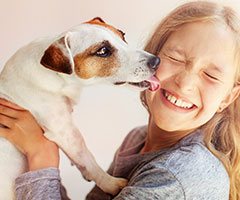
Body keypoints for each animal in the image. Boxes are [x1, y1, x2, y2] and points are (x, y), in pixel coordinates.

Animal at [0, 17, 161, 198]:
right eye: (103, 51)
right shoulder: (66, 132)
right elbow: (87, 158)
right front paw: (110, 183)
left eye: (122, 35)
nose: (156, 61)